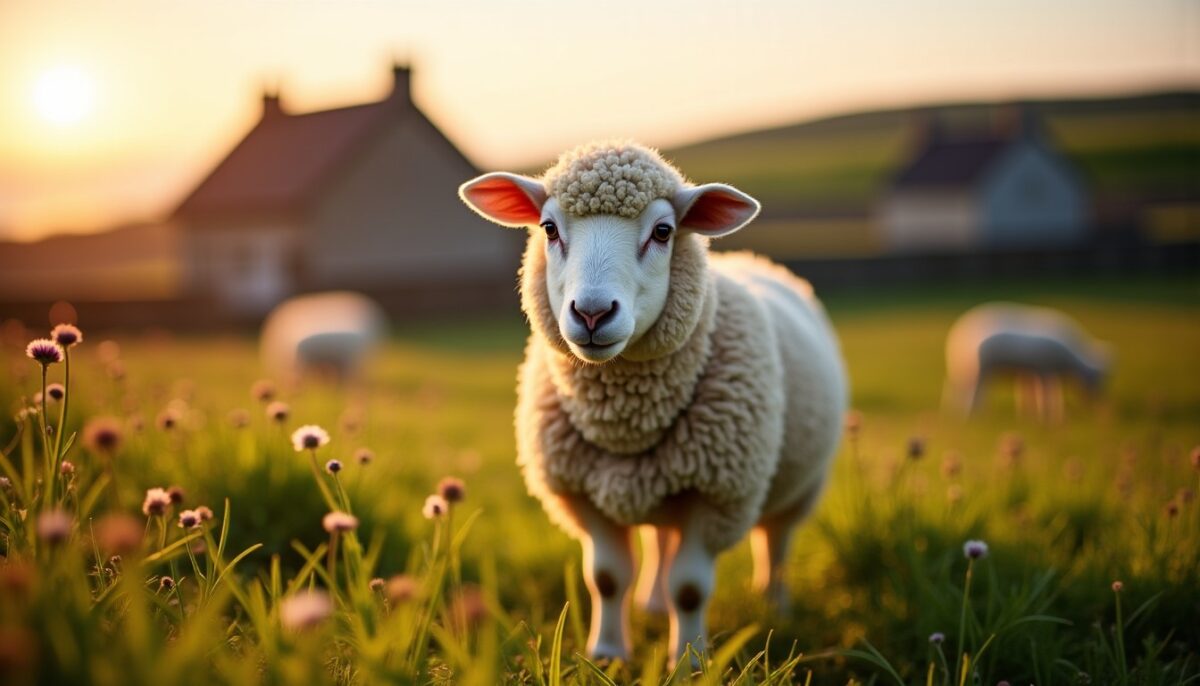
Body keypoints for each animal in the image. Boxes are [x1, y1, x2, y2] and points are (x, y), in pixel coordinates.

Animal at [458, 141, 847, 664]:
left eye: (663, 232)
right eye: (549, 228)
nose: (593, 313)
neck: (625, 419)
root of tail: (757, 260)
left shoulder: (715, 493)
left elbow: (691, 589)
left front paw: (689, 662)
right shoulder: (583, 493)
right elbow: (606, 579)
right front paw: (607, 654)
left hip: (800, 486)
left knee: (776, 543)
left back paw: (774, 606)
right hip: (656, 485)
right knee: (661, 538)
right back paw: (653, 603)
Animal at [943, 302, 1112, 421]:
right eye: (1097, 378)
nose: (1099, 405)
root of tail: (958, 330)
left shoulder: (1031, 372)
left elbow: (1030, 393)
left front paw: (1030, 415)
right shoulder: (1045, 369)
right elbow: (1047, 394)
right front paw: (1050, 416)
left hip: (964, 371)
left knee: (958, 391)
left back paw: (957, 413)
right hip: (979, 370)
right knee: (973, 395)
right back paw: (971, 416)